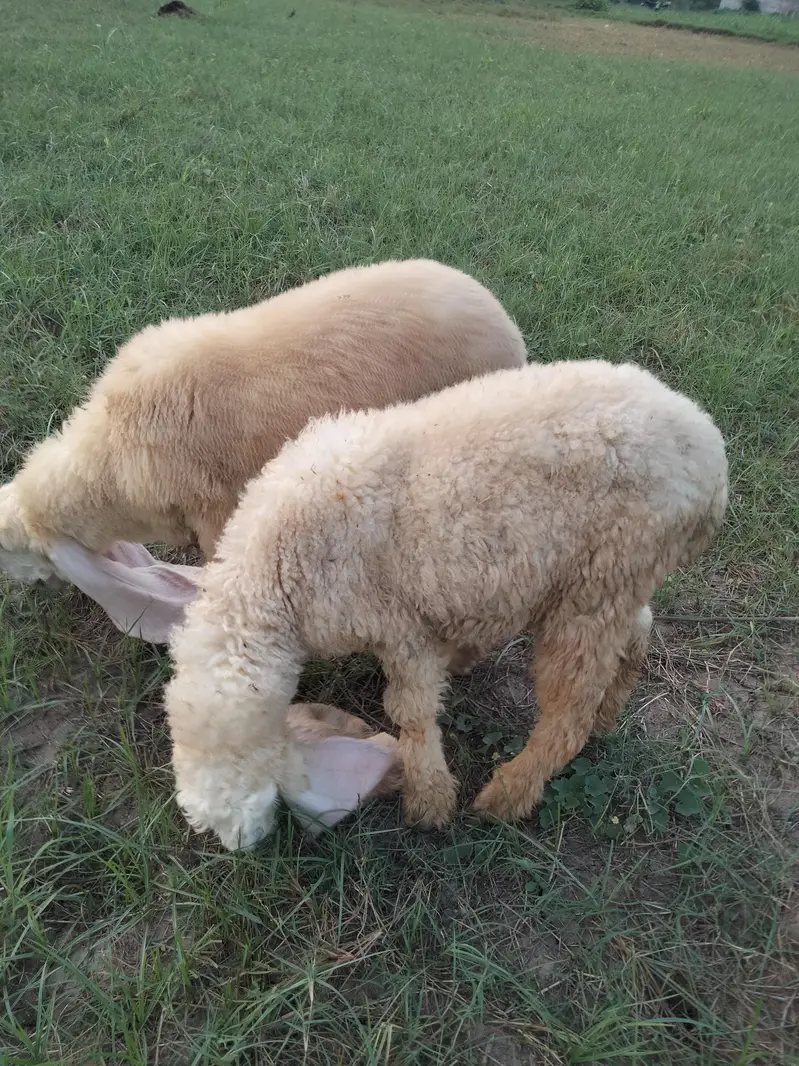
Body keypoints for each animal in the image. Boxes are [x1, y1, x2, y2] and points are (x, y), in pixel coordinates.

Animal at [161, 358, 728, 850]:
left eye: (241, 776)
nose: (242, 846)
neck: (275, 573)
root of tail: (710, 462)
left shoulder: (397, 625)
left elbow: (410, 713)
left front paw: (429, 802)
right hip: (615, 577)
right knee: (637, 632)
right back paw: (609, 714)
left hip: (600, 582)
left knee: (568, 714)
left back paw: (509, 794)